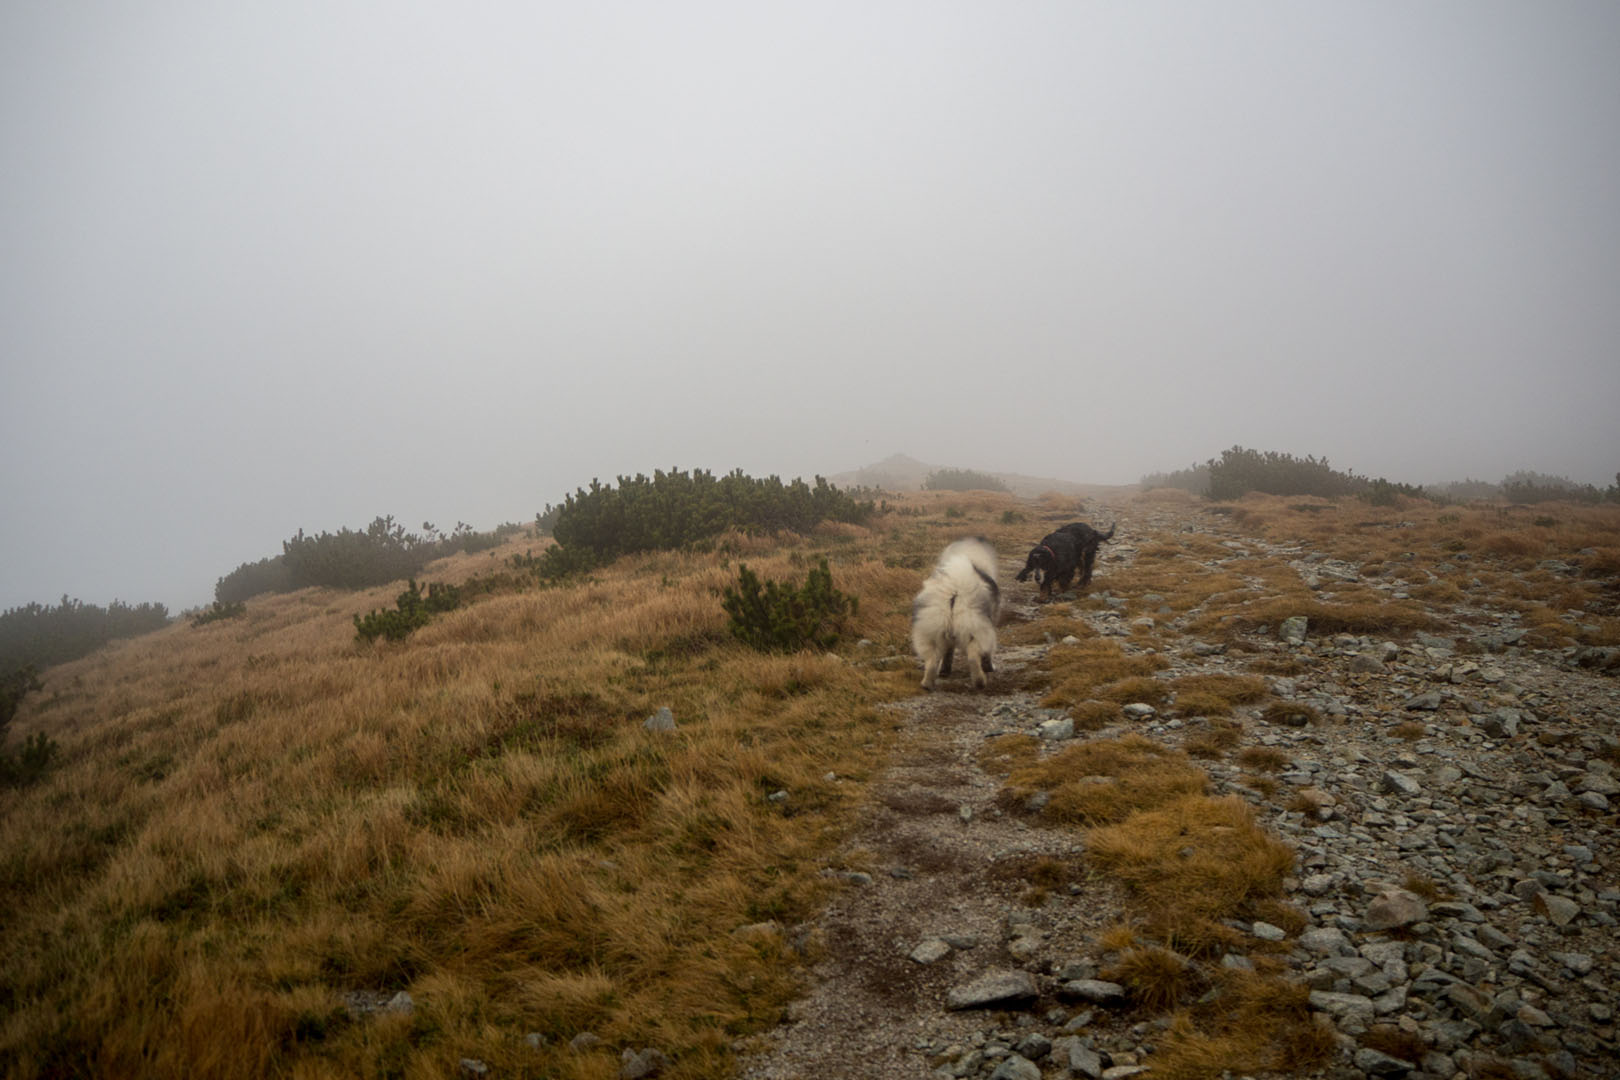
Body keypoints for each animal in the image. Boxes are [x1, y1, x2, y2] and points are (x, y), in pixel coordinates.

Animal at [913, 534, 997, 693]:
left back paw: (927, 684)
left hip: (933, 627)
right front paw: (990, 667)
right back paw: (980, 682)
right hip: (975, 627)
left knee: (932, 659)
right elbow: (987, 651)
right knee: (973, 656)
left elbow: (948, 653)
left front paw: (945, 671)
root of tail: (954, 588)